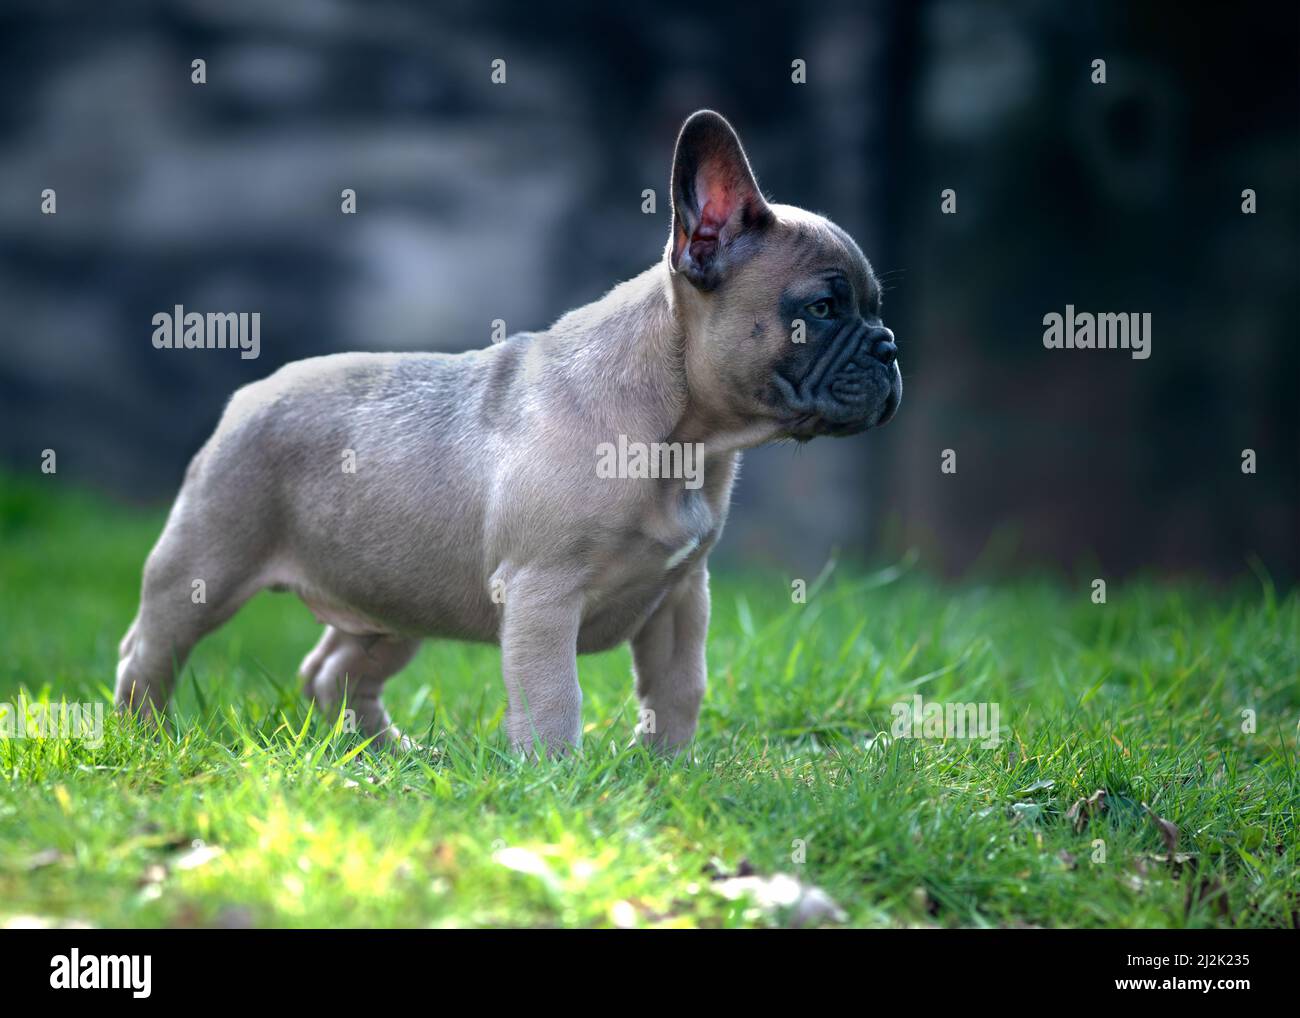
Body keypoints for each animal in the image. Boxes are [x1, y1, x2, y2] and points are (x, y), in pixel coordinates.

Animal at [116, 111, 899, 754]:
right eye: (822, 308)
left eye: (875, 307)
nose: (889, 346)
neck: (681, 436)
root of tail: (251, 394)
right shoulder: (543, 593)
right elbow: (555, 697)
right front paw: (560, 780)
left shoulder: (682, 598)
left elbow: (678, 689)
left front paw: (668, 771)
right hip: (205, 563)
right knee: (150, 650)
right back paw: (144, 738)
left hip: (390, 601)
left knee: (333, 670)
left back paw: (383, 752)